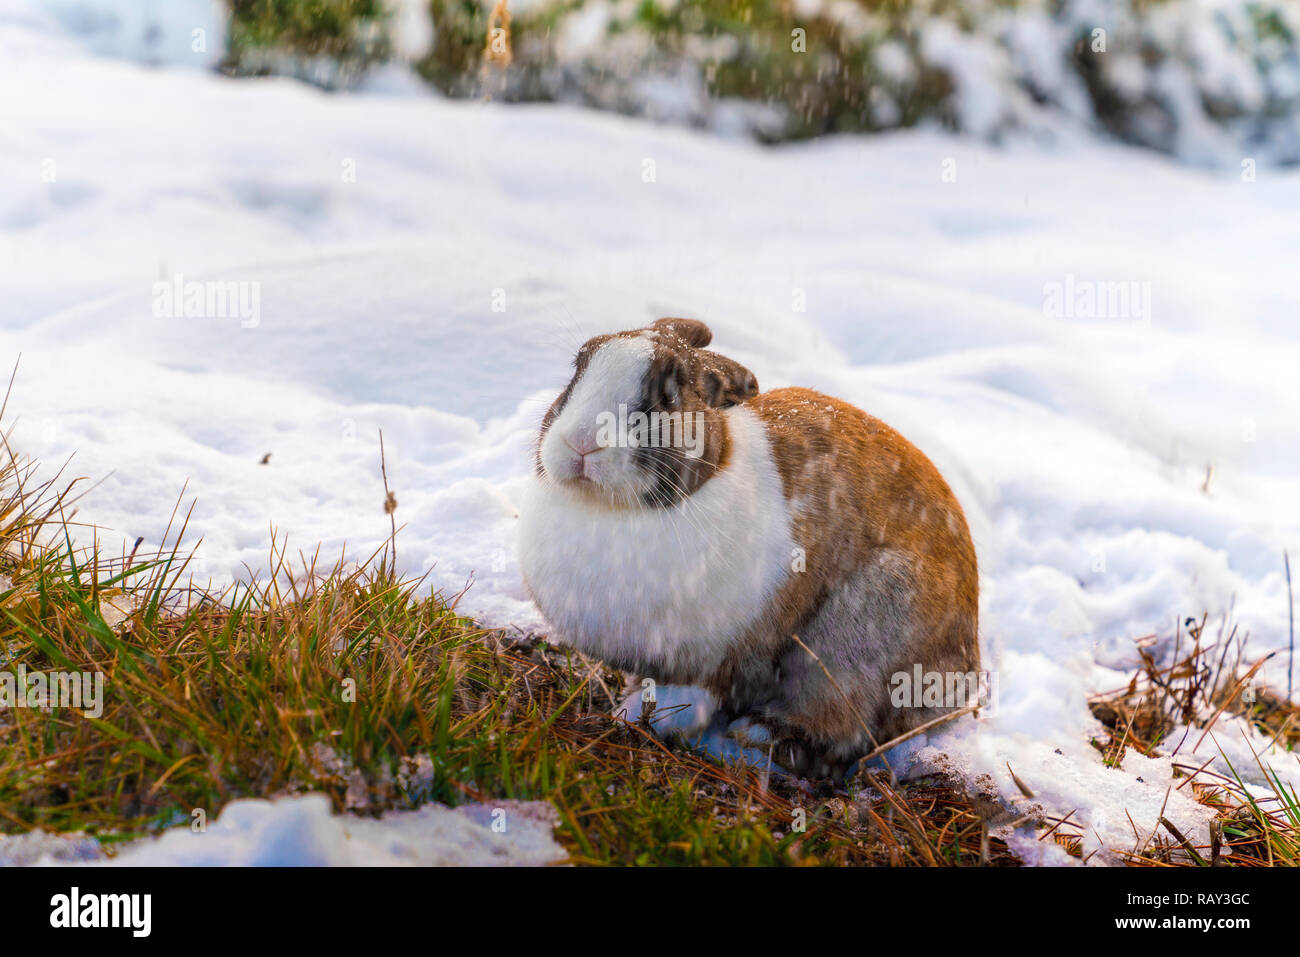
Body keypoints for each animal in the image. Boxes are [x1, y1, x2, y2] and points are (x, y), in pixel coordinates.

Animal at [518, 317, 982, 778]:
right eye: (577, 368)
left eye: (670, 391)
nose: (581, 442)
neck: (612, 510)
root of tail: (966, 676)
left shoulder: (718, 659)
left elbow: (690, 694)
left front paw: (644, 718)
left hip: (863, 630)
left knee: (842, 721)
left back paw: (760, 734)